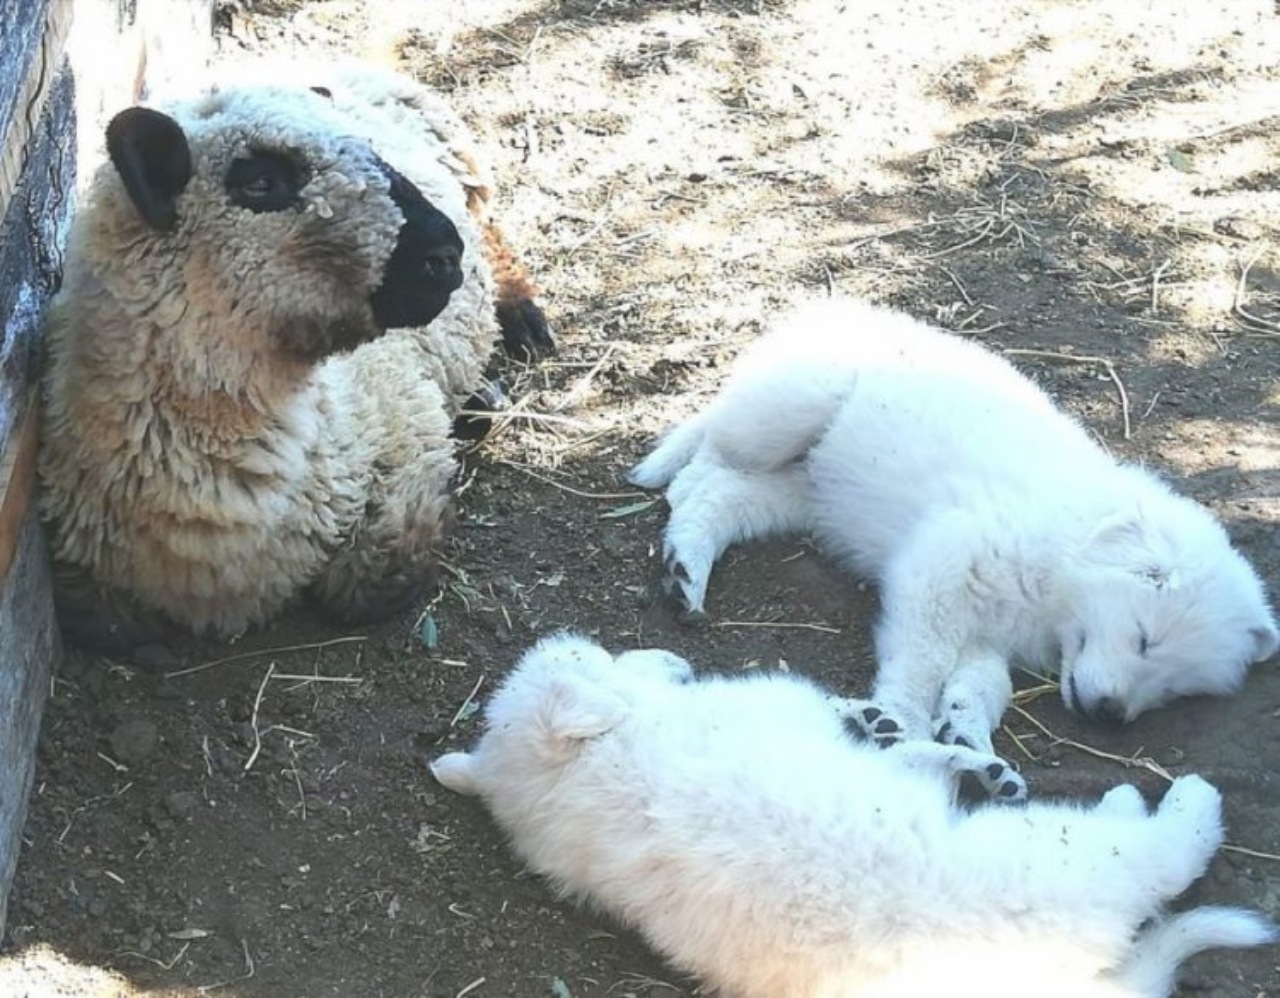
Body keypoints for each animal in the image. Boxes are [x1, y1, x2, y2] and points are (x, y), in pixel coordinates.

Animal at [36, 64, 550, 655]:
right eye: (261, 183)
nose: (444, 255)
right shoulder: (79, 560)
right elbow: (113, 629)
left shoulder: (405, 442)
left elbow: (367, 585)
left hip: (465, 173)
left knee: (493, 232)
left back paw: (520, 328)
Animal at [435, 632, 1274, 997]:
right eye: (605, 659)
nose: (676, 661)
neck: (581, 770)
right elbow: (898, 757)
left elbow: (907, 756)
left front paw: (951, 757)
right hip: (1072, 860)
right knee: (1161, 854)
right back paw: (1164, 798)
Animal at [629, 300, 1280, 752]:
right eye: (1146, 638)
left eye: (1173, 687)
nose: (1109, 716)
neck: (1066, 552)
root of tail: (830, 310)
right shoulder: (940, 569)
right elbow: (923, 659)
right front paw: (900, 722)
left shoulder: (989, 631)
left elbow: (985, 683)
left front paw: (967, 733)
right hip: (786, 413)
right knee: (708, 464)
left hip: (809, 492)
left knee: (728, 496)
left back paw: (686, 573)